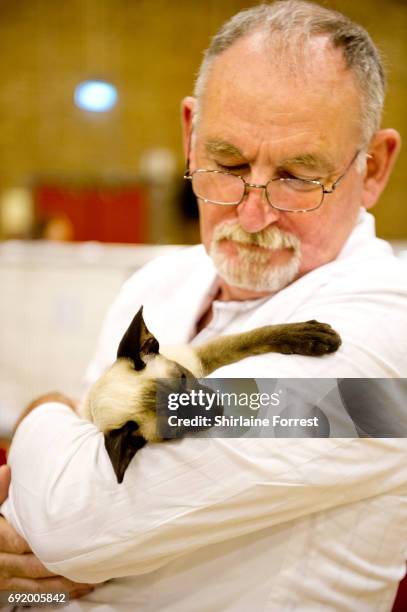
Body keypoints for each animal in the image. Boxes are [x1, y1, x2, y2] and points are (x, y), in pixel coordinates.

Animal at [80, 306, 342, 482]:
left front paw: (311, 335)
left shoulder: (201, 358)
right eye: (177, 424)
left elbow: (250, 338)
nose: (217, 408)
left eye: (183, 378)